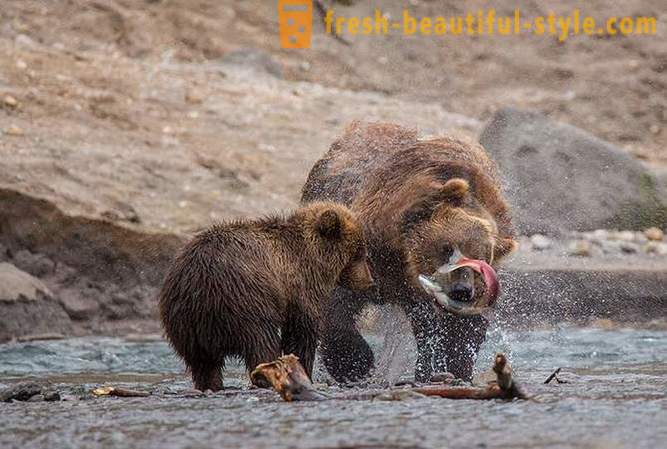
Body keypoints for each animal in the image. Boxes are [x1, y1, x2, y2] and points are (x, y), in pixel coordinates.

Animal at [302, 121, 516, 382]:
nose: (462, 290)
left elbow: (455, 327)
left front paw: (454, 364)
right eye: (446, 248)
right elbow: (336, 300)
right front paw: (355, 363)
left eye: (481, 262)